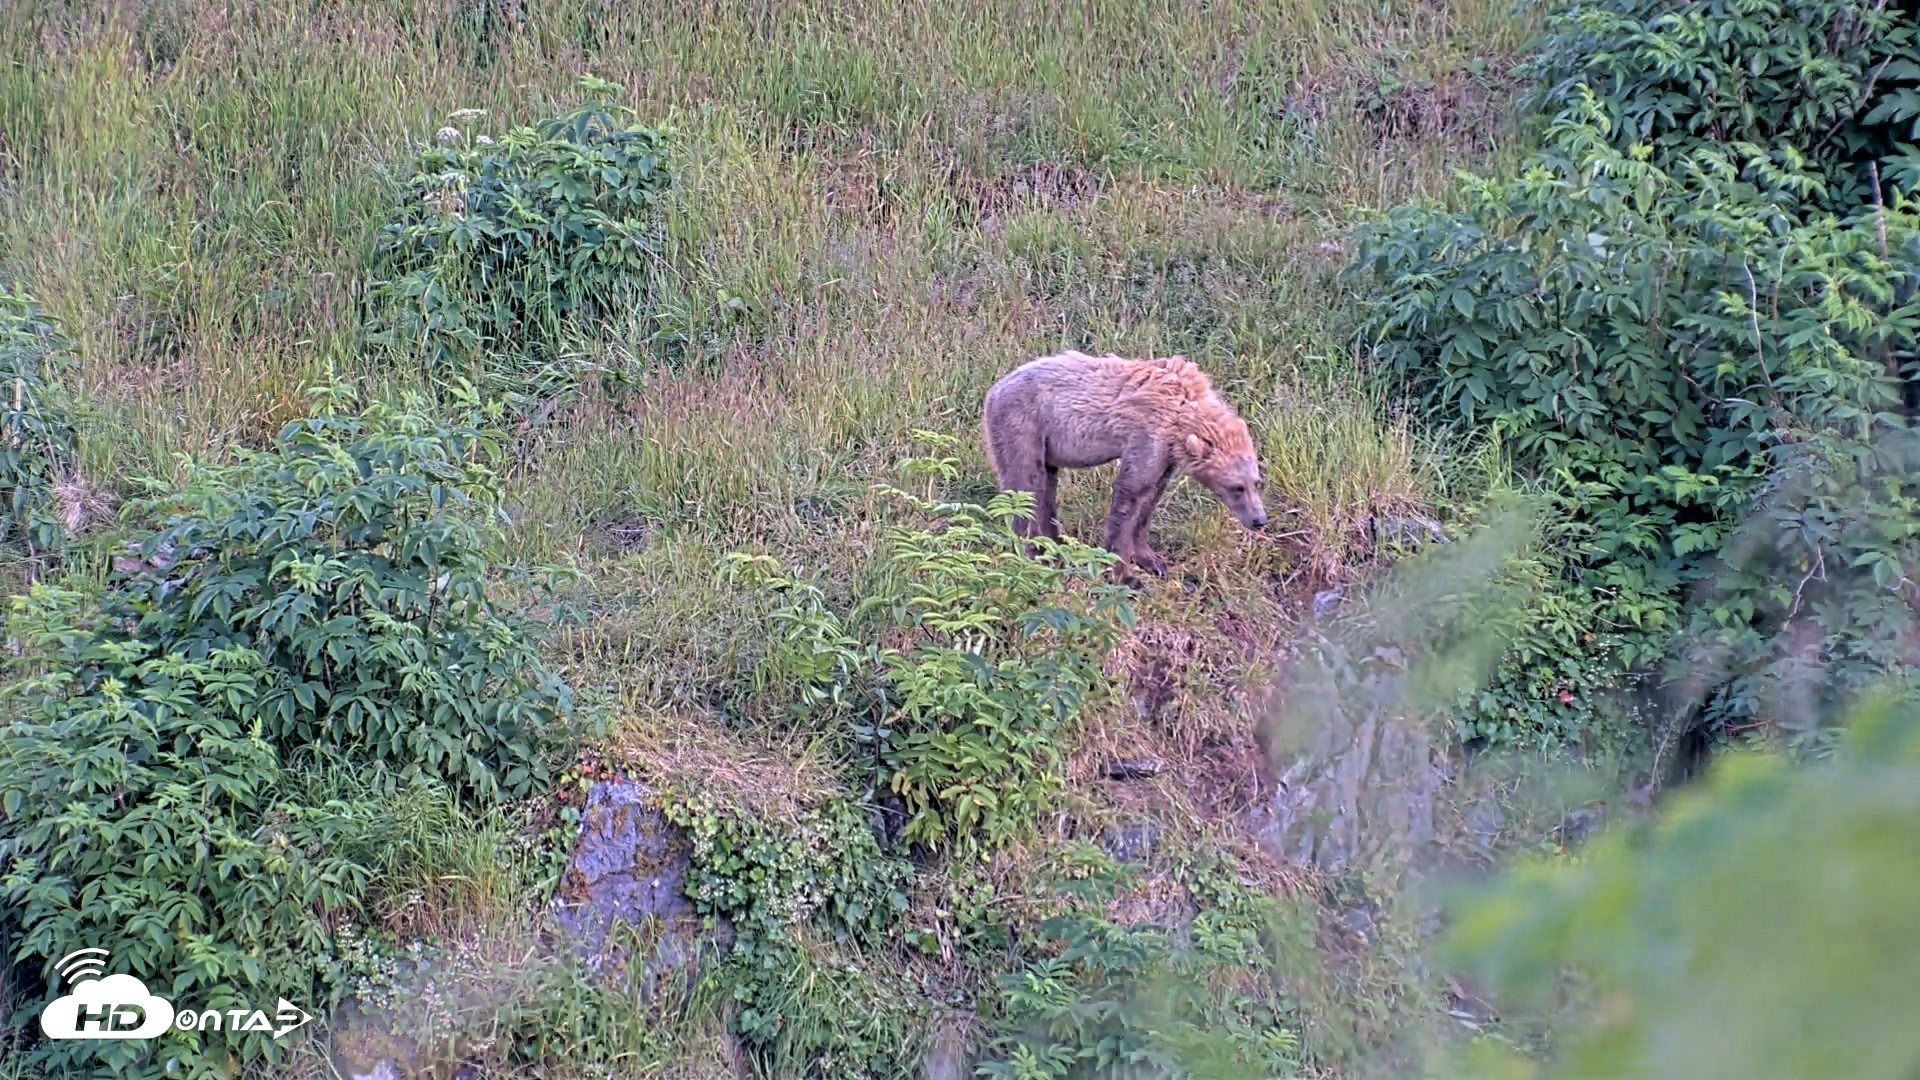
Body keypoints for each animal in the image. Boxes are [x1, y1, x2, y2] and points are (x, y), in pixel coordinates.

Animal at [981, 350, 1268, 576]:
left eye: (1256, 482)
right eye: (1236, 487)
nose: (1259, 520)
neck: (1184, 414)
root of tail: (994, 389)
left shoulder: (1165, 454)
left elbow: (1150, 497)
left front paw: (1152, 560)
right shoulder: (1147, 434)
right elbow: (1131, 492)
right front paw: (1123, 572)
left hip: (1047, 443)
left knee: (1046, 489)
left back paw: (1056, 542)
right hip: (1022, 423)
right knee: (1025, 484)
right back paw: (1031, 551)